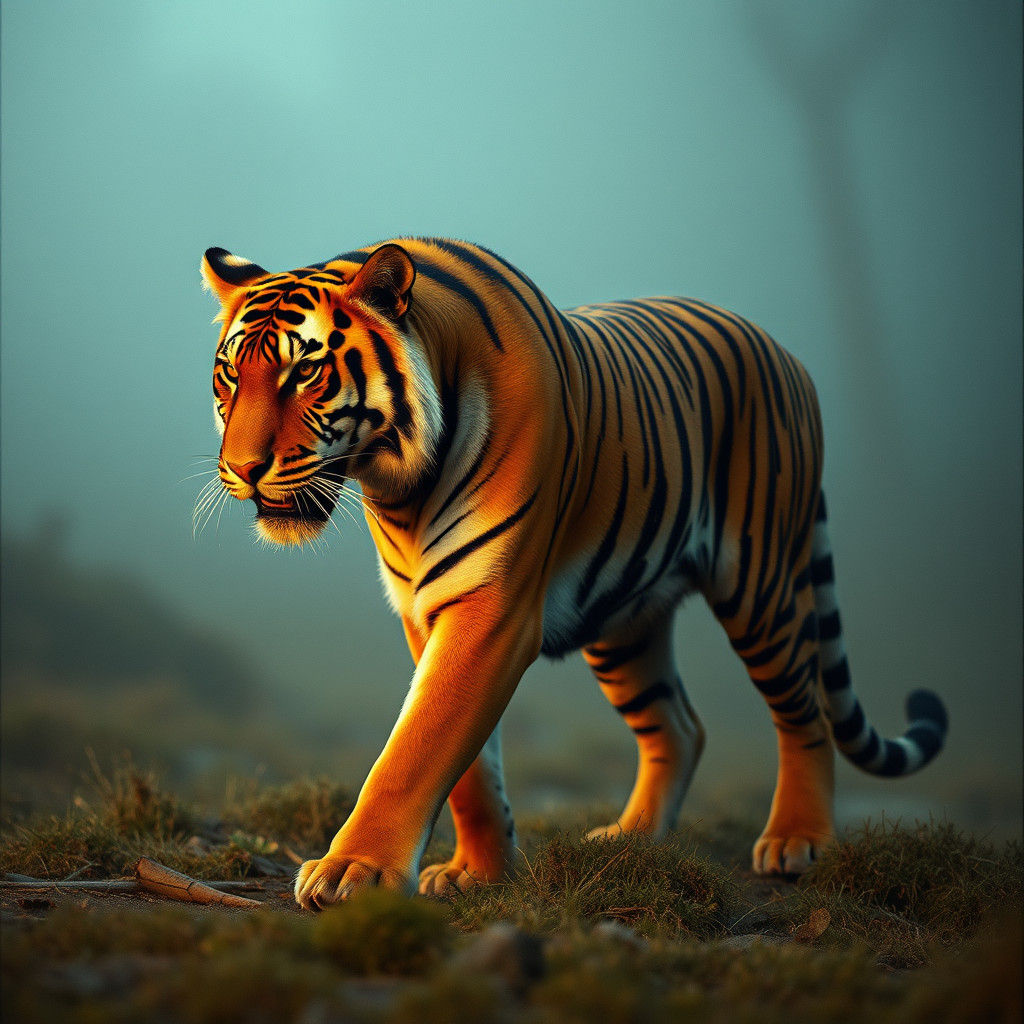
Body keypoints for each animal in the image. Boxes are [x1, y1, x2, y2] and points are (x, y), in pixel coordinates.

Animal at [200, 237, 948, 910]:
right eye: (232, 375)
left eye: (304, 373)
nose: (241, 469)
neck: (398, 487)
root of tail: (785, 352)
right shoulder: (424, 609)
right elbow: (469, 769)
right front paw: (479, 872)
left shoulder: (491, 607)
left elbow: (416, 746)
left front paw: (355, 870)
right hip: (625, 620)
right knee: (680, 727)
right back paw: (630, 841)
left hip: (761, 587)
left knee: (806, 711)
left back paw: (797, 839)